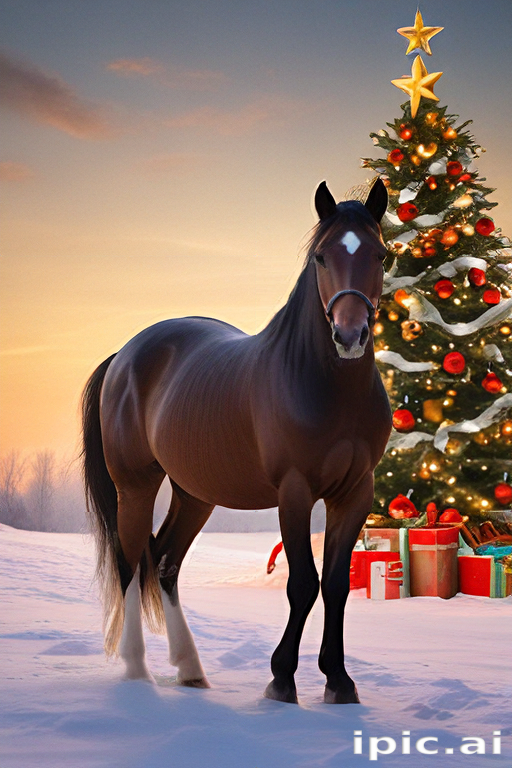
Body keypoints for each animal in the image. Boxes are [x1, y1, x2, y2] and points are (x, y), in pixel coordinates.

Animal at [82, 178, 392, 704]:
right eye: (321, 257)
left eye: (380, 254)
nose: (349, 335)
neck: (322, 384)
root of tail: (124, 355)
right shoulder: (294, 491)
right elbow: (303, 584)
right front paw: (281, 680)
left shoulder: (355, 493)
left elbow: (335, 585)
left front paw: (339, 681)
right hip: (135, 487)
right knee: (129, 562)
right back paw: (138, 671)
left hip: (194, 494)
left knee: (164, 562)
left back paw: (190, 669)